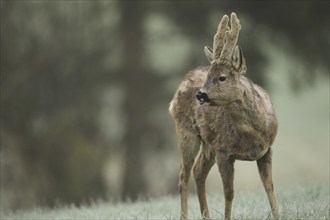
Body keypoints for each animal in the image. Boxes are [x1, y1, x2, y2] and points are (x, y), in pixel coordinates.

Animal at [169, 12, 280, 220]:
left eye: (222, 77)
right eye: (208, 76)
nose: (201, 94)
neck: (252, 135)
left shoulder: (267, 149)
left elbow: (269, 187)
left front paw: (277, 215)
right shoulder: (224, 151)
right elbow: (229, 192)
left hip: (209, 143)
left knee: (198, 171)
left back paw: (206, 215)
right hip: (187, 131)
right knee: (183, 175)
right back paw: (184, 215)